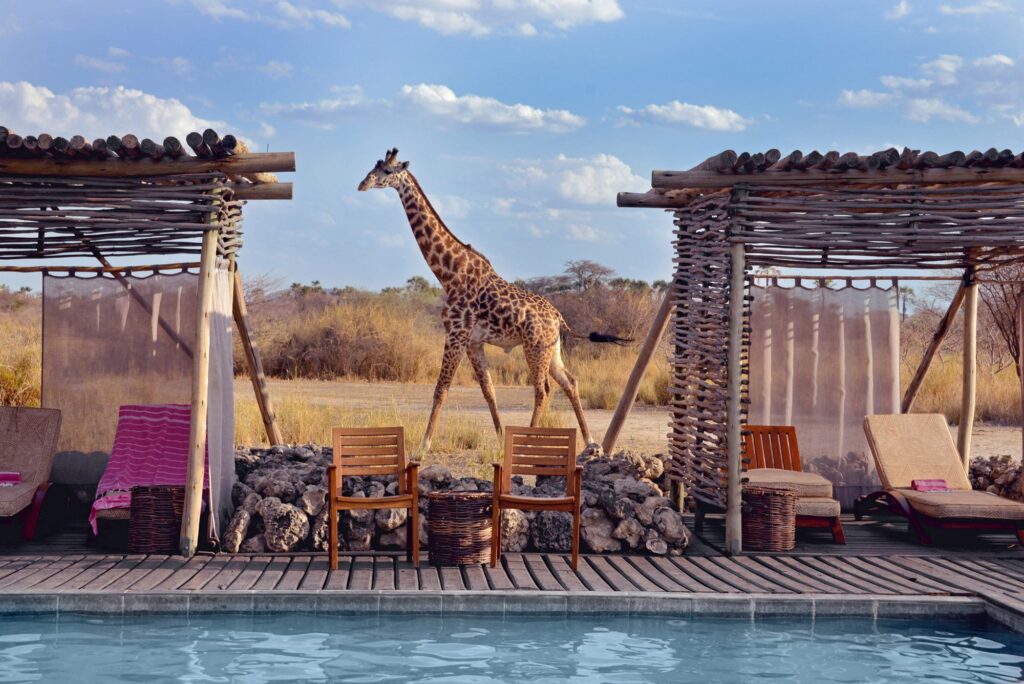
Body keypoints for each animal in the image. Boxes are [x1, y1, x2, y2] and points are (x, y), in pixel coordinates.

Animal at [358, 148, 630, 451]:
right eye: (373, 166)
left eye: (386, 171)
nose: (363, 184)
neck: (448, 272)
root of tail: (559, 317)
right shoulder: (473, 342)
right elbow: (488, 390)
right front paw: (500, 438)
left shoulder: (456, 334)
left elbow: (441, 389)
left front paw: (424, 445)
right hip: (552, 348)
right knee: (570, 382)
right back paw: (590, 441)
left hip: (535, 347)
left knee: (543, 390)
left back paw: (530, 441)